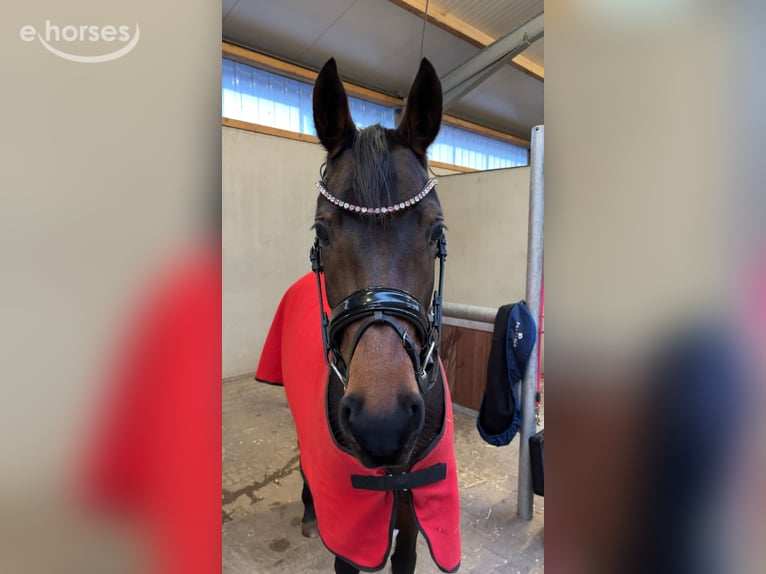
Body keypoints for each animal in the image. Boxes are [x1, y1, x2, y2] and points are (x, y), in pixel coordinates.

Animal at [256, 58, 461, 574]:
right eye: (322, 231)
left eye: (436, 231)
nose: (383, 421)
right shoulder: (352, 537)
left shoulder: (411, 521)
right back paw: (309, 512)